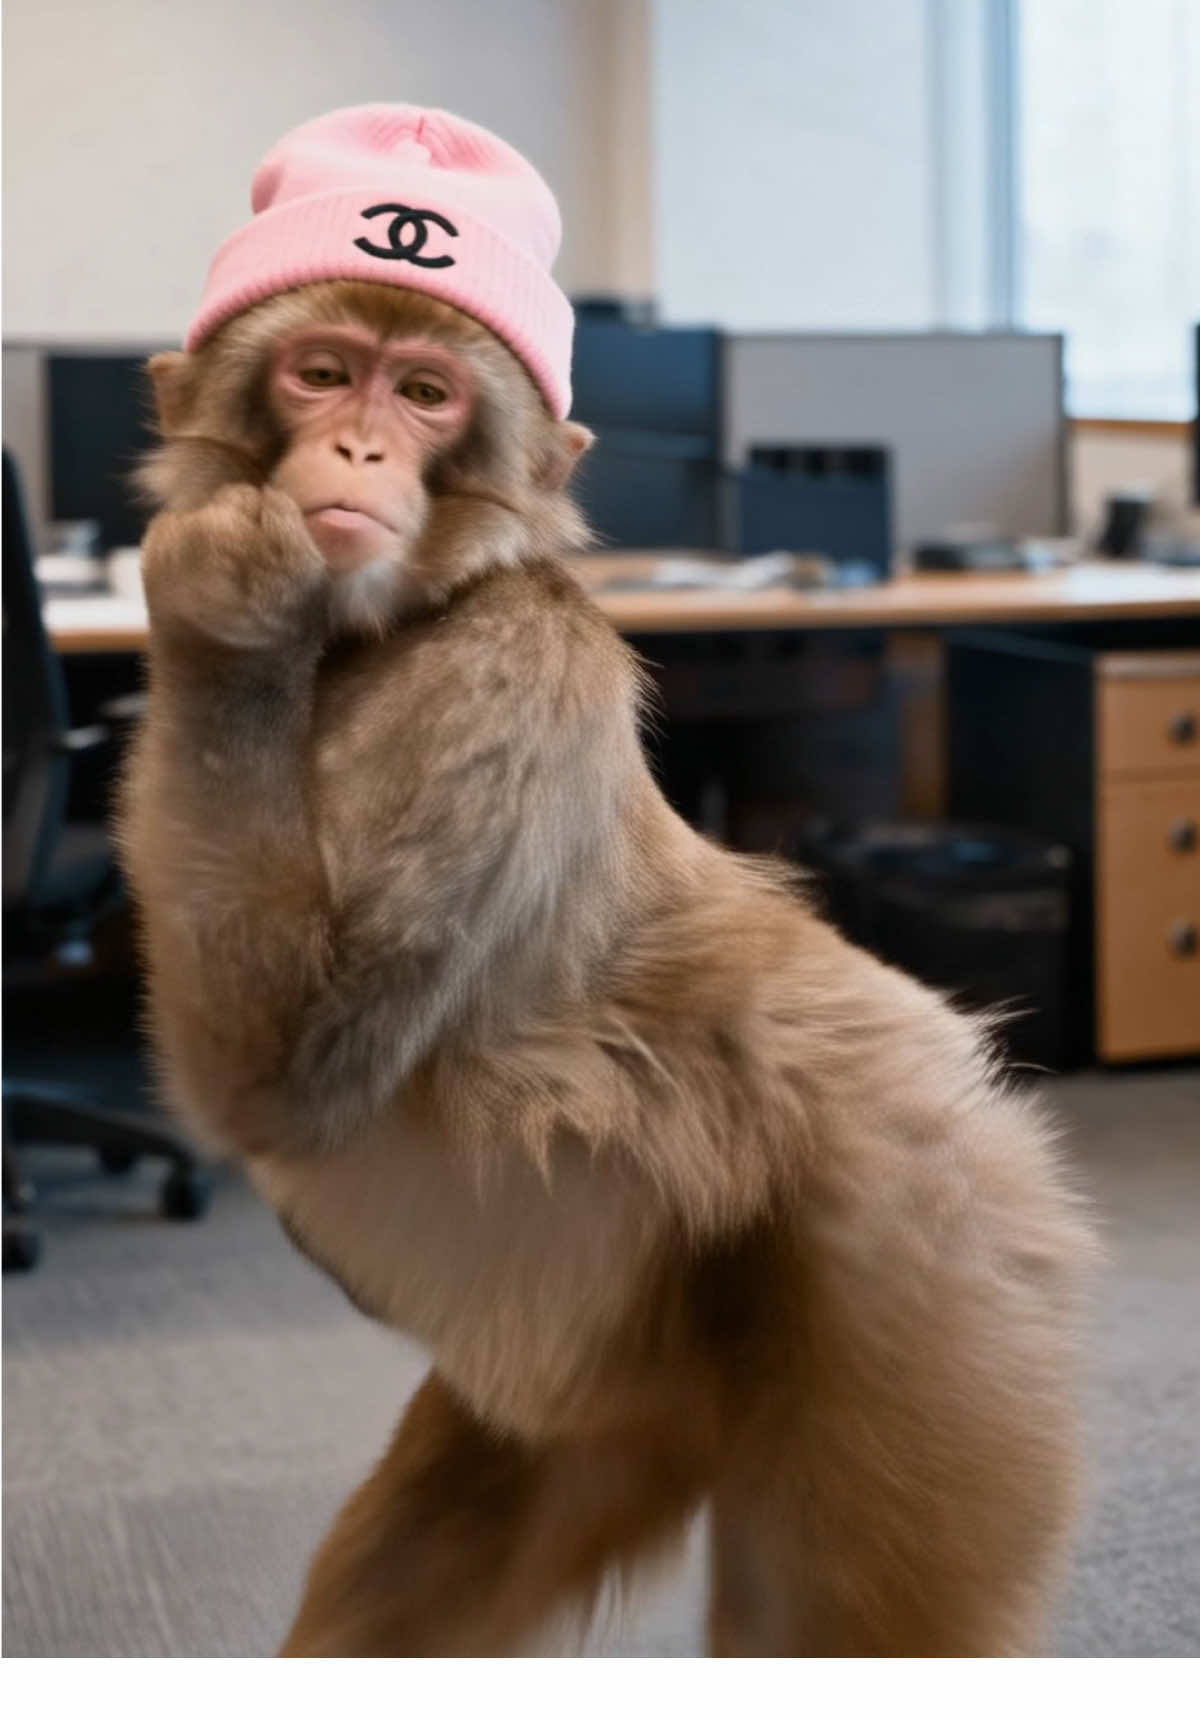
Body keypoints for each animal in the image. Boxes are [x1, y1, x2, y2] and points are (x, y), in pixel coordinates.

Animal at [117, 104, 1096, 1656]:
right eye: (321, 370)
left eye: (426, 392)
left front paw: (224, 618)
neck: (394, 627)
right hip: (592, 1408)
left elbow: (293, 1076)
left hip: (928, 1290)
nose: (357, 442)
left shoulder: (516, 666)